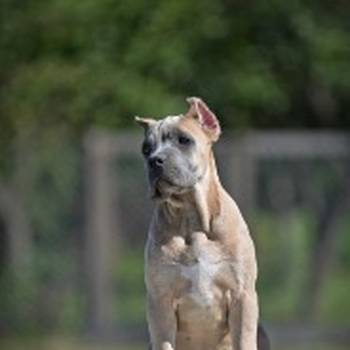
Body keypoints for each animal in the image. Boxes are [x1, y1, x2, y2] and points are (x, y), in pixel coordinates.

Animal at [135, 98, 270, 350]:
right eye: (145, 149)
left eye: (184, 140)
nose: (154, 160)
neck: (191, 219)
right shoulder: (160, 303)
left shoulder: (242, 297)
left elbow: (244, 339)